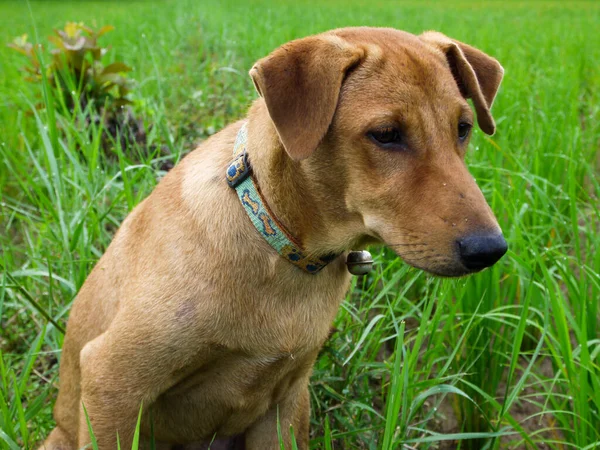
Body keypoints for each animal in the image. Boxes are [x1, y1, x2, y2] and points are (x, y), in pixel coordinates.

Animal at [39, 28, 506, 450]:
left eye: (463, 128)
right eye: (387, 133)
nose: (490, 249)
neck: (277, 244)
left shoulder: (284, 404)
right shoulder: (113, 379)